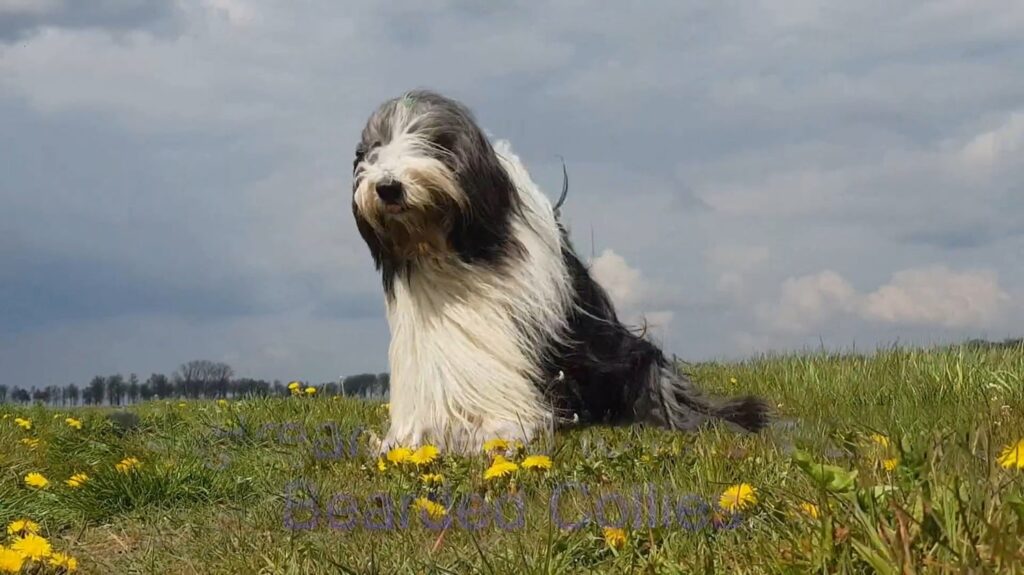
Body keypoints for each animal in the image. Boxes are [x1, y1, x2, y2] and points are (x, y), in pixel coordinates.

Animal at [352, 89, 770, 452]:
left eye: (433, 141)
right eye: (373, 148)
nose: (388, 187)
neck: (453, 246)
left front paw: (498, 432)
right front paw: (405, 441)